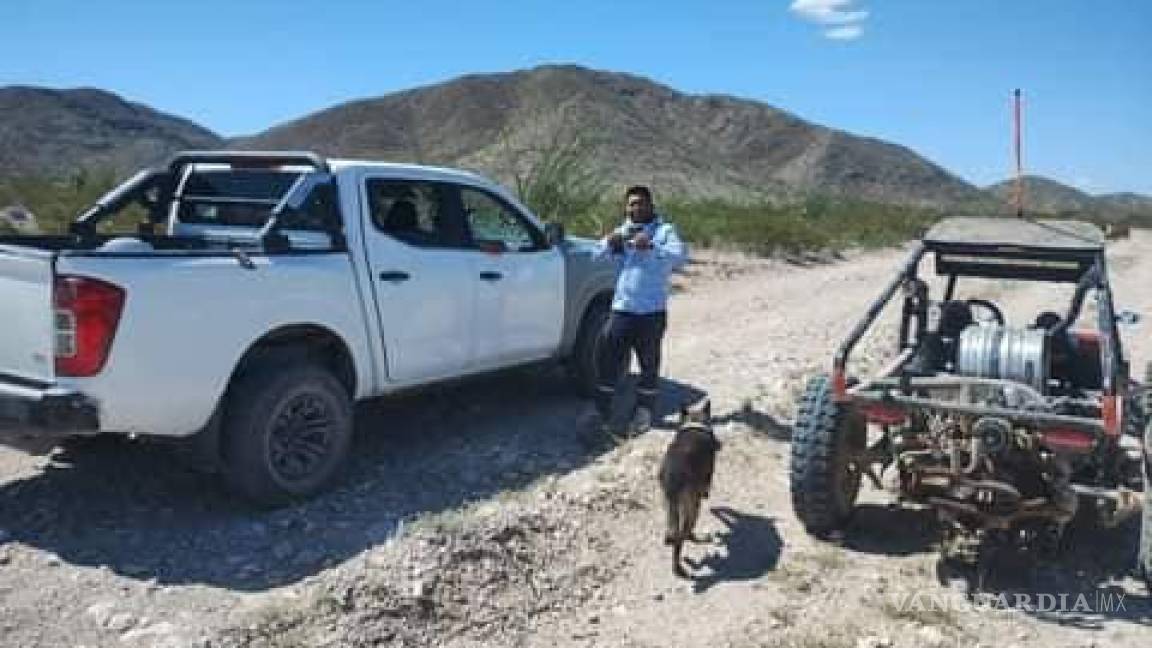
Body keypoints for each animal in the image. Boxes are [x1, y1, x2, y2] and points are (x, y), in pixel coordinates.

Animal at [658, 398, 718, 574]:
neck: (695, 422)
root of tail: (675, 474)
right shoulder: (707, 476)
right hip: (691, 505)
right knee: (683, 534)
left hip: (668, 505)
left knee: (673, 533)